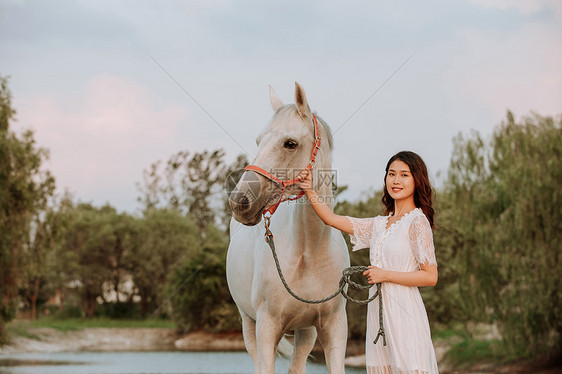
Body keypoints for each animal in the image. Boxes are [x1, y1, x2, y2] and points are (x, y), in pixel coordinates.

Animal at [225, 82, 348, 374]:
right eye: (259, 141)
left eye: (289, 143)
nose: (239, 201)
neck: (310, 251)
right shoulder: (267, 328)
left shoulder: (335, 328)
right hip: (248, 324)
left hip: (306, 331)